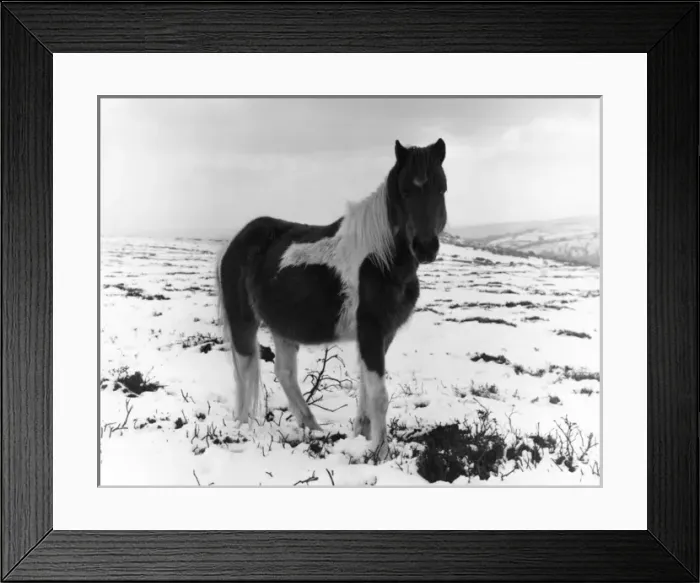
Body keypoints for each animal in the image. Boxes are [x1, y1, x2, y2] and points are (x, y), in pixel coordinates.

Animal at [216, 138, 448, 460]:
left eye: (441, 188)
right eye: (405, 191)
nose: (425, 247)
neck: (380, 259)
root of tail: (236, 240)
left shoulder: (382, 335)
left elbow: (365, 388)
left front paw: (362, 435)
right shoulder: (371, 331)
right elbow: (379, 395)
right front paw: (381, 453)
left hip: (283, 327)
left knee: (284, 373)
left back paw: (312, 428)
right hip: (243, 322)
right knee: (245, 371)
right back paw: (243, 428)